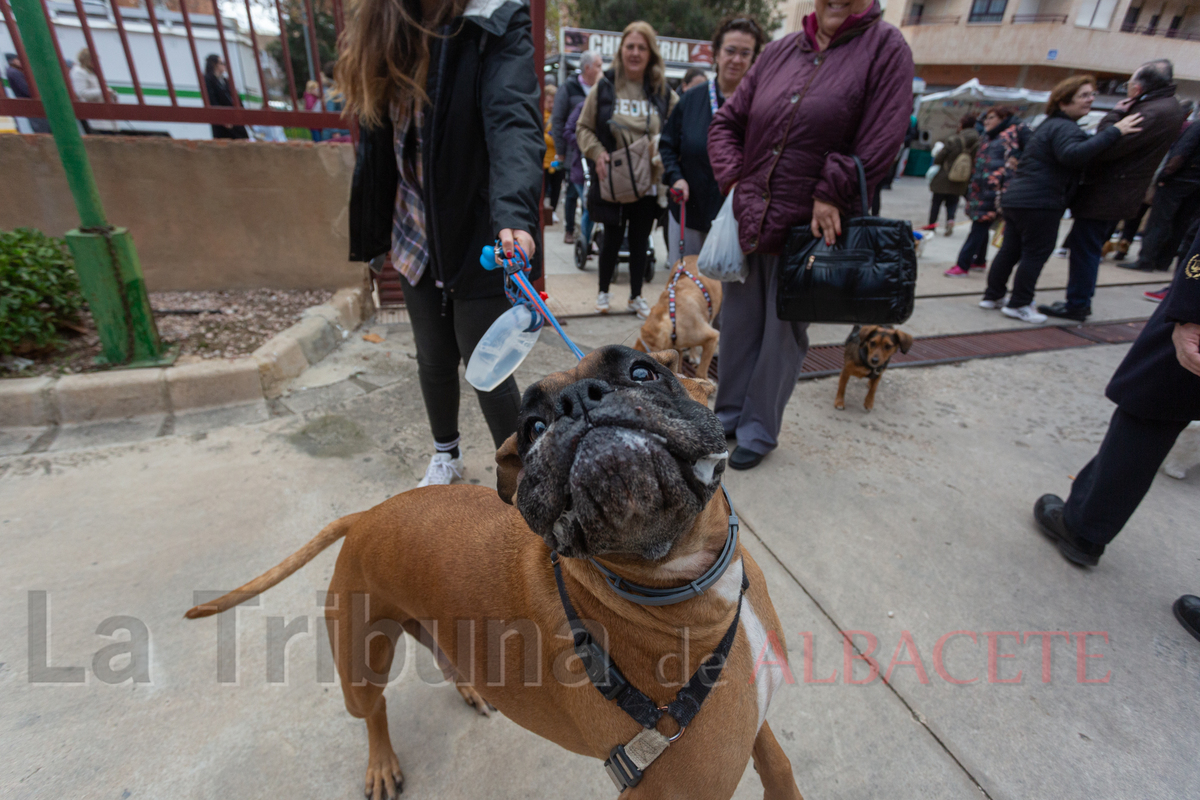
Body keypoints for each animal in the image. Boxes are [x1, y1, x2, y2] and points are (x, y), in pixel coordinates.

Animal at [187, 345, 801, 800]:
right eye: (531, 426)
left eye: (643, 371)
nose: (577, 400)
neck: (679, 581)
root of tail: (367, 515)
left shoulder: (756, 724)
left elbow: (779, 766)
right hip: (359, 667)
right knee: (373, 710)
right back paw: (382, 762)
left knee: (442, 651)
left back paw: (469, 686)